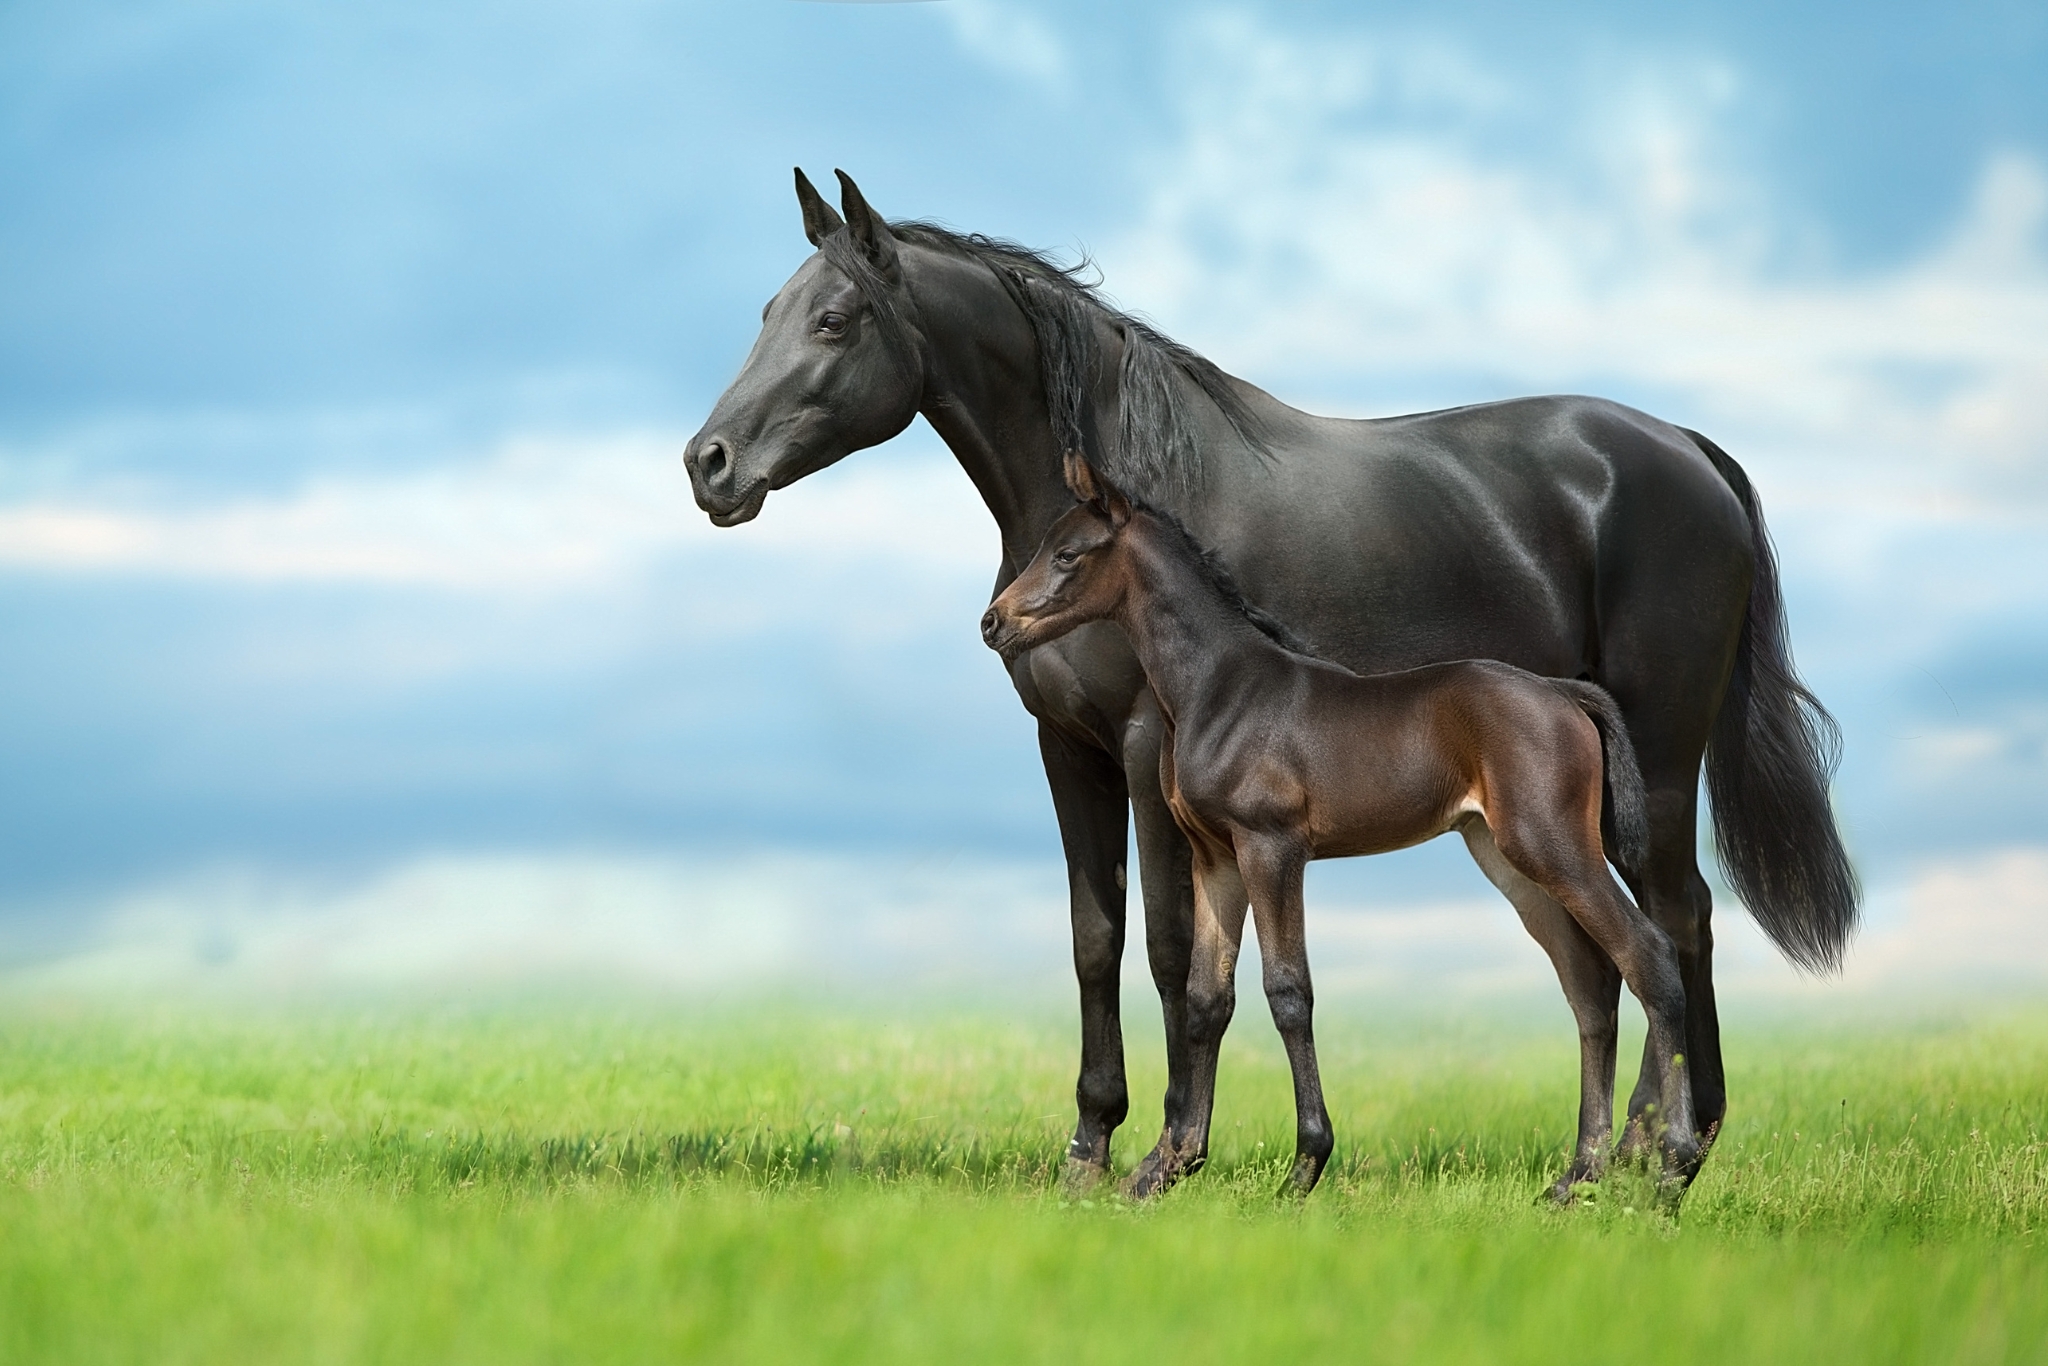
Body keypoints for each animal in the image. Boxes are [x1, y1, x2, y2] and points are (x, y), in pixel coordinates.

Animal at [983, 458, 1699, 1199]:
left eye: (1068, 554)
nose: (992, 622)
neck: (1219, 689)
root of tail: (1564, 693)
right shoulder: (1215, 858)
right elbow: (1208, 999)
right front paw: (1166, 1166)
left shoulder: (1271, 848)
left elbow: (1288, 991)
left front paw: (1304, 1166)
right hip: (1507, 859)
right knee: (1591, 984)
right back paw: (1575, 1180)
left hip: (1556, 847)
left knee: (1647, 953)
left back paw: (1673, 1171)